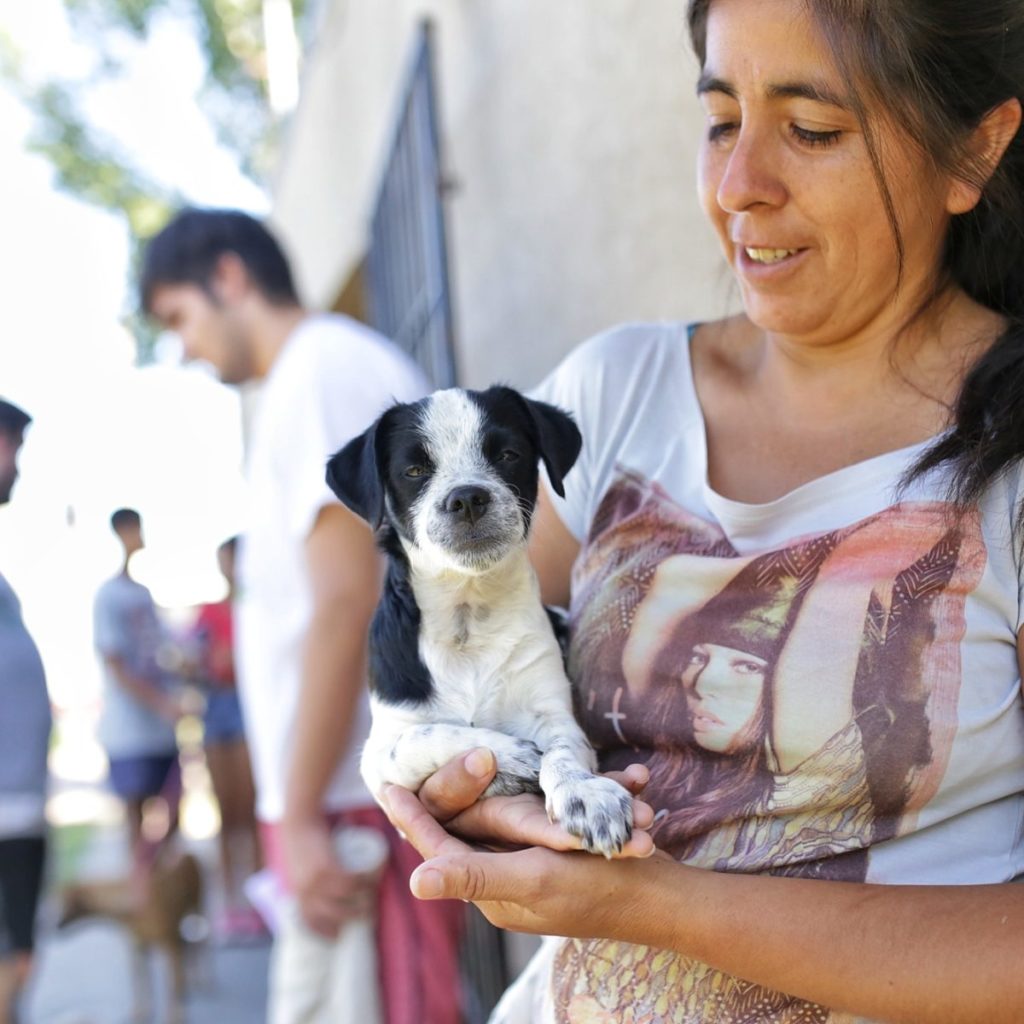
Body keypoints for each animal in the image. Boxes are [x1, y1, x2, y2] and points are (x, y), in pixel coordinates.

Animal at [59, 849, 205, 1023]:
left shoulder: (170, 945)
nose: (54, 926)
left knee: (201, 945)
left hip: (197, 905)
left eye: (66, 905)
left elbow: (171, 984)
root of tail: (188, 853)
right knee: (188, 950)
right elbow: (142, 982)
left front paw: (175, 1015)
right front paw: (142, 1011)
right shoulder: (138, 948)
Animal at [326, 385, 633, 857]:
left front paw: (585, 792)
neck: (466, 619)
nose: (468, 497)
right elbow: (425, 736)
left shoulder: (552, 709)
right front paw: (509, 754)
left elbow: (563, 750)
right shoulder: (378, 755)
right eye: (414, 470)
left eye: (507, 454)